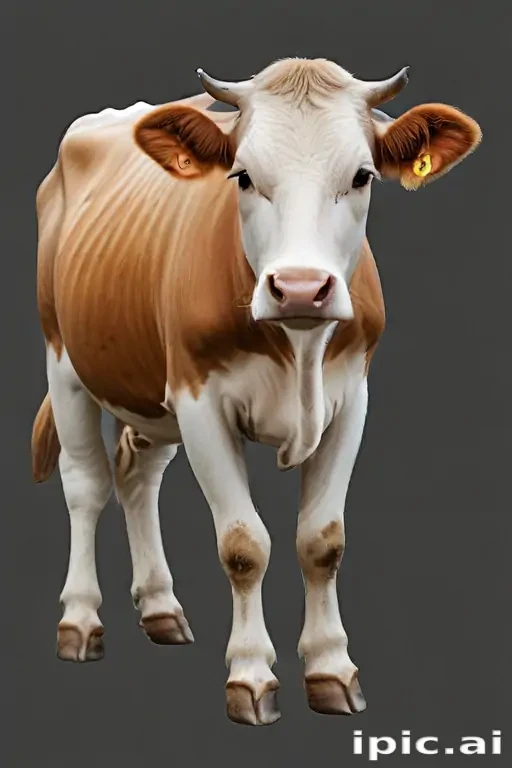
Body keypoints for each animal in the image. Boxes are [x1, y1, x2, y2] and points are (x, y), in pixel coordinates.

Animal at [32, 57, 481, 726]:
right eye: (242, 176)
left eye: (362, 175)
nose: (299, 287)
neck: (298, 348)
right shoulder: (200, 402)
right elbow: (244, 545)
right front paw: (250, 676)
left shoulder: (352, 401)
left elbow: (323, 541)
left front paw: (331, 670)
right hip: (63, 358)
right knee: (86, 487)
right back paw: (80, 622)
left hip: (149, 390)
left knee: (136, 476)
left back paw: (160, 609)